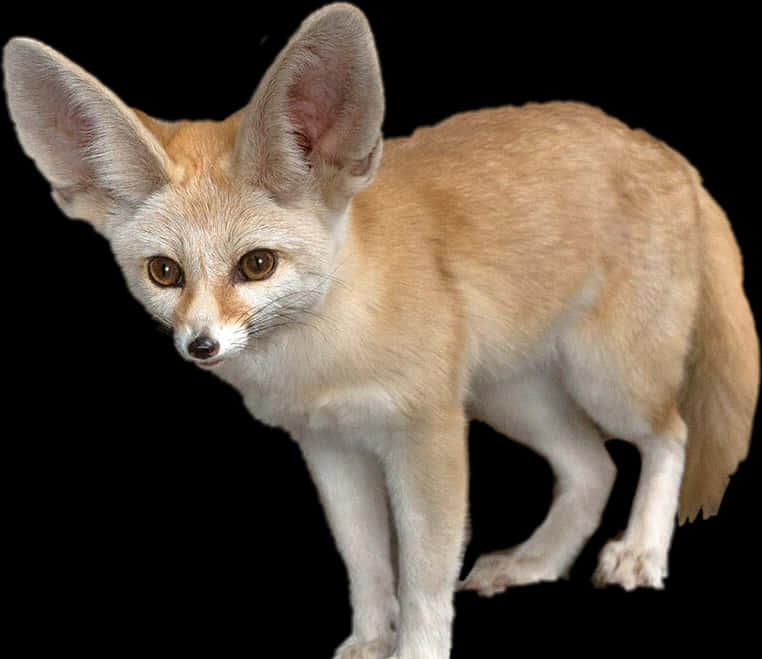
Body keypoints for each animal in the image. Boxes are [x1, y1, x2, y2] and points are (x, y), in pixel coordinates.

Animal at [3, 3, 758, 657]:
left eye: (255, 264)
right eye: (165, 273)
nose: (202, 346)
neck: (325, 358)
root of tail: (663, 151)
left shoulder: (427, 436)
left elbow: (423, 575)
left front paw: (417, 651)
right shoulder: (330, 446)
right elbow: (367, 564)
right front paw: (370, 642)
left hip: (604, 379)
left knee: (669, 436)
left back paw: (641, 552)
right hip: (513, 397)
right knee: (592, 466)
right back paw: (535, 562)